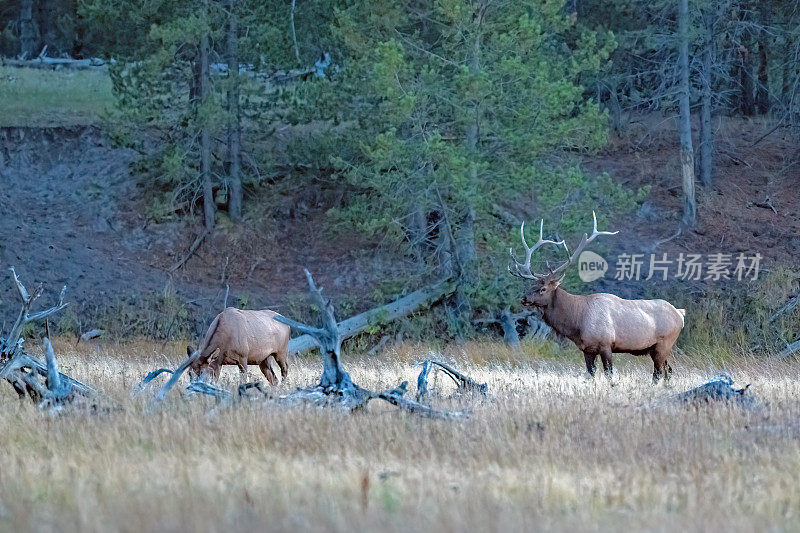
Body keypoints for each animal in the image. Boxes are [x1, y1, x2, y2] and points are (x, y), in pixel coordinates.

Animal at [510, 212, 684, 382]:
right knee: (668, 371)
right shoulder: (587, 349)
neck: (577, 322)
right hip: (657, 349)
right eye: (532, 285)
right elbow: (590, 374)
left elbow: (609, 374)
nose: (524, 298)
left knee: (659, 373)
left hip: (664, 344)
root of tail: (680, 314)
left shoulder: (606, 344)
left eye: (543, 288)